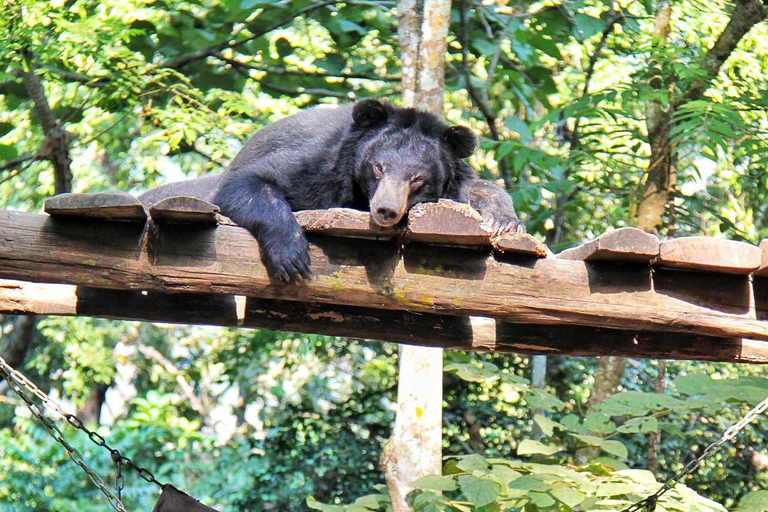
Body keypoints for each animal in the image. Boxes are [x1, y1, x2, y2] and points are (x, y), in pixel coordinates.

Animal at [140, 99, 520, 280]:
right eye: (378, 167)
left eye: (417, 179)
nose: (386, 210)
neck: (359, 193)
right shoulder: (320, 167)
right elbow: (251, 182)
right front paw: (292, 260)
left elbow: (479, 189)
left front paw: (505, 221)